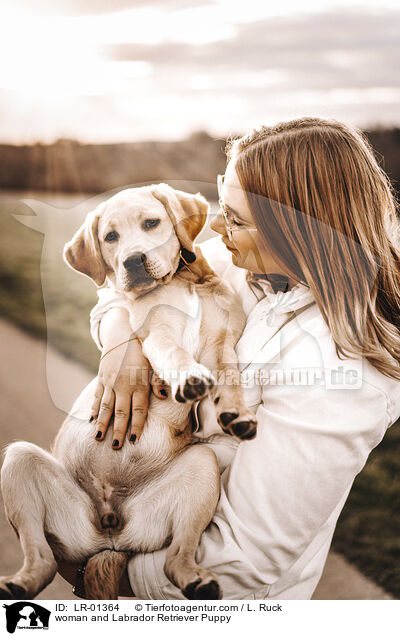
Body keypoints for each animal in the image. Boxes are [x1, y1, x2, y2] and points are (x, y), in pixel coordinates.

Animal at [0, 184, 256, 600]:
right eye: (110, 237)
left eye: (151, 223)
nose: (133, 261)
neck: (180, 279)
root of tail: (109, 532)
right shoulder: (158, 333)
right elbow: (176, 352)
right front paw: (189, 376)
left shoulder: (223, 345)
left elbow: (231, 379)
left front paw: (239, 413)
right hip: (20, 460)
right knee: (41, 556)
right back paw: (17, 583)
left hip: (199, 470)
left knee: (175, 557)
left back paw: (197, 580)